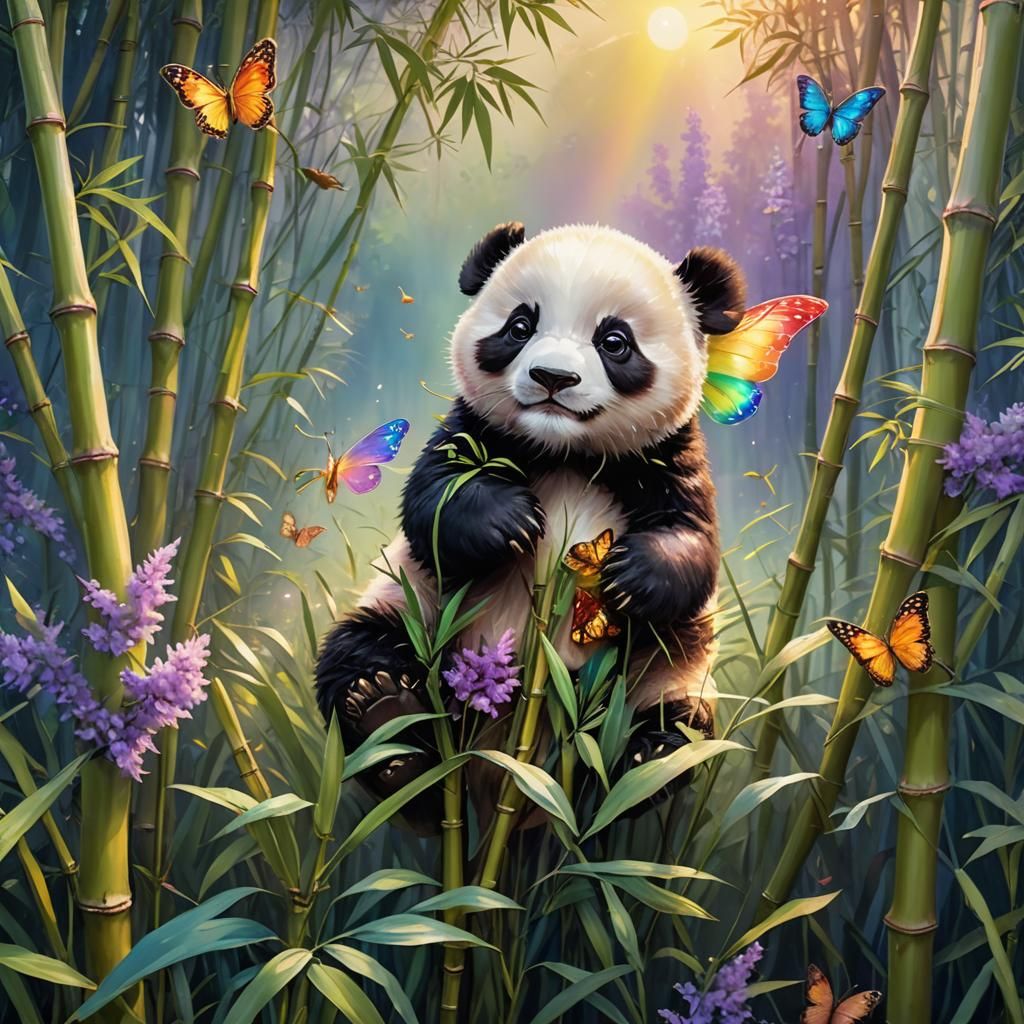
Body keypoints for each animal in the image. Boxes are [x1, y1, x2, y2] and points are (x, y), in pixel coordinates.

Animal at [315, 222, 745, 827]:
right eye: (520, 326)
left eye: (615, 341)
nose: (552, 377)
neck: (566, 453)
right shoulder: (470, 431)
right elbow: (434, 502)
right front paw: (512, 522)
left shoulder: (668, 458)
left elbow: (693, 542)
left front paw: (629, 576)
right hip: (415, 611)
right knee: (356, 656)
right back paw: (387, 720)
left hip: (661, 669)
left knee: (676, 722)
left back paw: (645, 760)